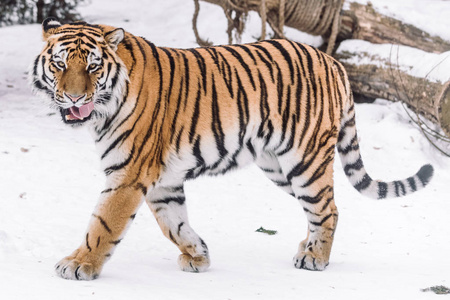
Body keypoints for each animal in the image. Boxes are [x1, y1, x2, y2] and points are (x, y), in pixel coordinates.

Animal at [29, 18, 434, 282]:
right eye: (60, 64)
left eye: (93, 67)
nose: (74, 97)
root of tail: (333, 61)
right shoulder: (161, 180)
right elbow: (173, 222)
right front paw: (198, 255)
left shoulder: (128, 174)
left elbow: (103, 223)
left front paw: (79, 265)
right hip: (279, 168)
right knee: (321, 208)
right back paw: (307, 247)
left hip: (305, 160)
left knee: (328, 209)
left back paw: (315, 258)